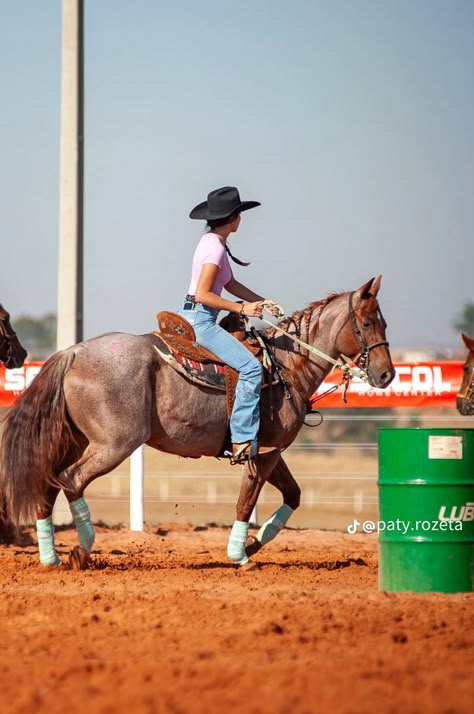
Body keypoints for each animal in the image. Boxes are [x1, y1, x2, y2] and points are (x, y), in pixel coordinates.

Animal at [0, 276, 392, 568]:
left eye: (384, 322)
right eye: (367, 323)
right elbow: (245, 502)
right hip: (114, 444)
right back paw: (82, 550)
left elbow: (293, 496)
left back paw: (51, 558)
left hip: (76, 440)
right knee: (71, 479)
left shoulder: (270, 450)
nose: (386, 374)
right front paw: (239, 555)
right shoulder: (263, 453)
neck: (285, 365)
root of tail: (73, 352)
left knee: (50, 482)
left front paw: (252, 544)